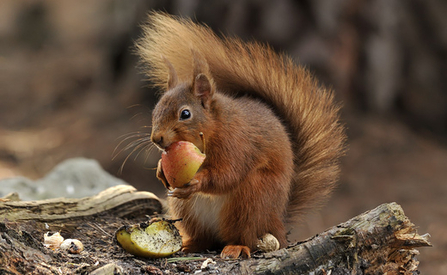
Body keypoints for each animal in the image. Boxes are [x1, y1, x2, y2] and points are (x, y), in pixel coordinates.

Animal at [136, 11, 346, 260]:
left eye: (185, 114)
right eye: (156, 109)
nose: (156, 139)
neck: (212, 129)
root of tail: (278, 224)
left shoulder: (237, 144)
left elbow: (228, 174)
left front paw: (197, 181)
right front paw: (160, 170)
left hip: (251, 202)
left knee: (246, 237)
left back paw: (236, 247)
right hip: (187, 211)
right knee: (205, 238)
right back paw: (190, 244)